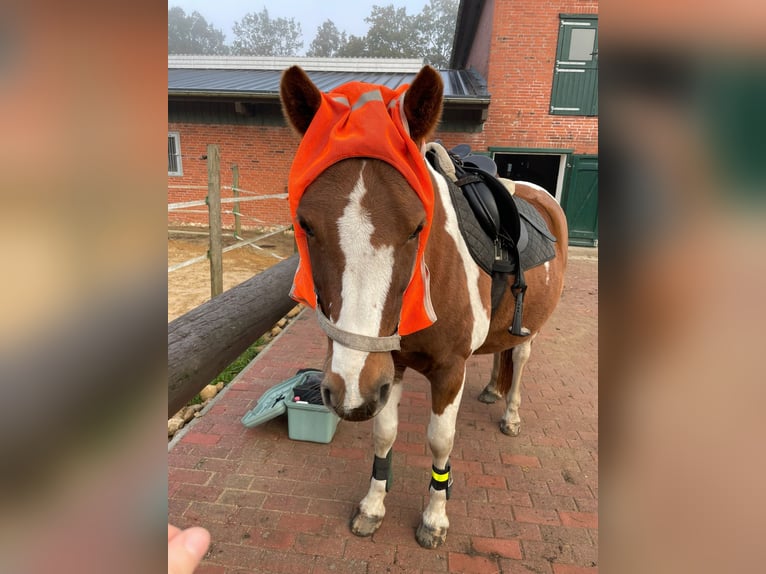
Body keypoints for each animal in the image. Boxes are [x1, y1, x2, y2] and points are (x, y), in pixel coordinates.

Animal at [280, 65, 568, 549]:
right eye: (305, 225)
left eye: (418, 226)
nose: (348, 390)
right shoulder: (388, 367)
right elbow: (384, 434)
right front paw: (373, 506)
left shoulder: (449, 369)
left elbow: (439, 441)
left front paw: (434, 517)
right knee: (502, 352)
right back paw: (493, 390)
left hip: (534, 327)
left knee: (521, 357)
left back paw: (510, 412)